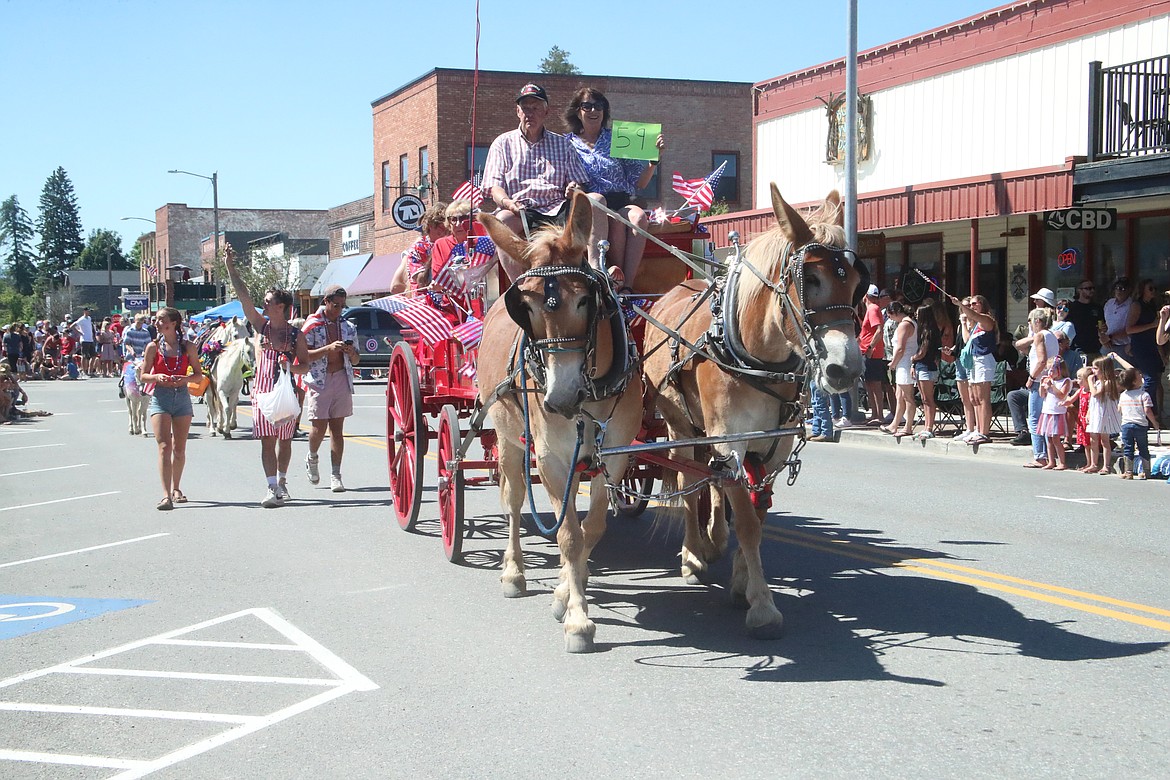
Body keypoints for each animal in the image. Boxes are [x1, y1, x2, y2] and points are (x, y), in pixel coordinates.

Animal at [472, 191, 641, 654]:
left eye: (585, 300)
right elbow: (567, 534)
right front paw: (578, 620)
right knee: (512, 501)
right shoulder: (550, 459)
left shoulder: (614, 455)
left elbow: (591, 529)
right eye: (526, 306)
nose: (560, 398)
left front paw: (567, 592)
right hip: (507, 438)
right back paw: (513, 571)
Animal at [645, 184, 865, 640]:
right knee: (687, 481)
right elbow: (746, 521)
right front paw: (763, 605)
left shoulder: (772, 446)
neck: (756, 357)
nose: (846, 369)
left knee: (709, 482)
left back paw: (713, 539)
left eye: (855, 282)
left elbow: (757, 516)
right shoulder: (729, 441)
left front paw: (742, 581)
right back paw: (693, 554)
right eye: (809, 279)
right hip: (679, 423)